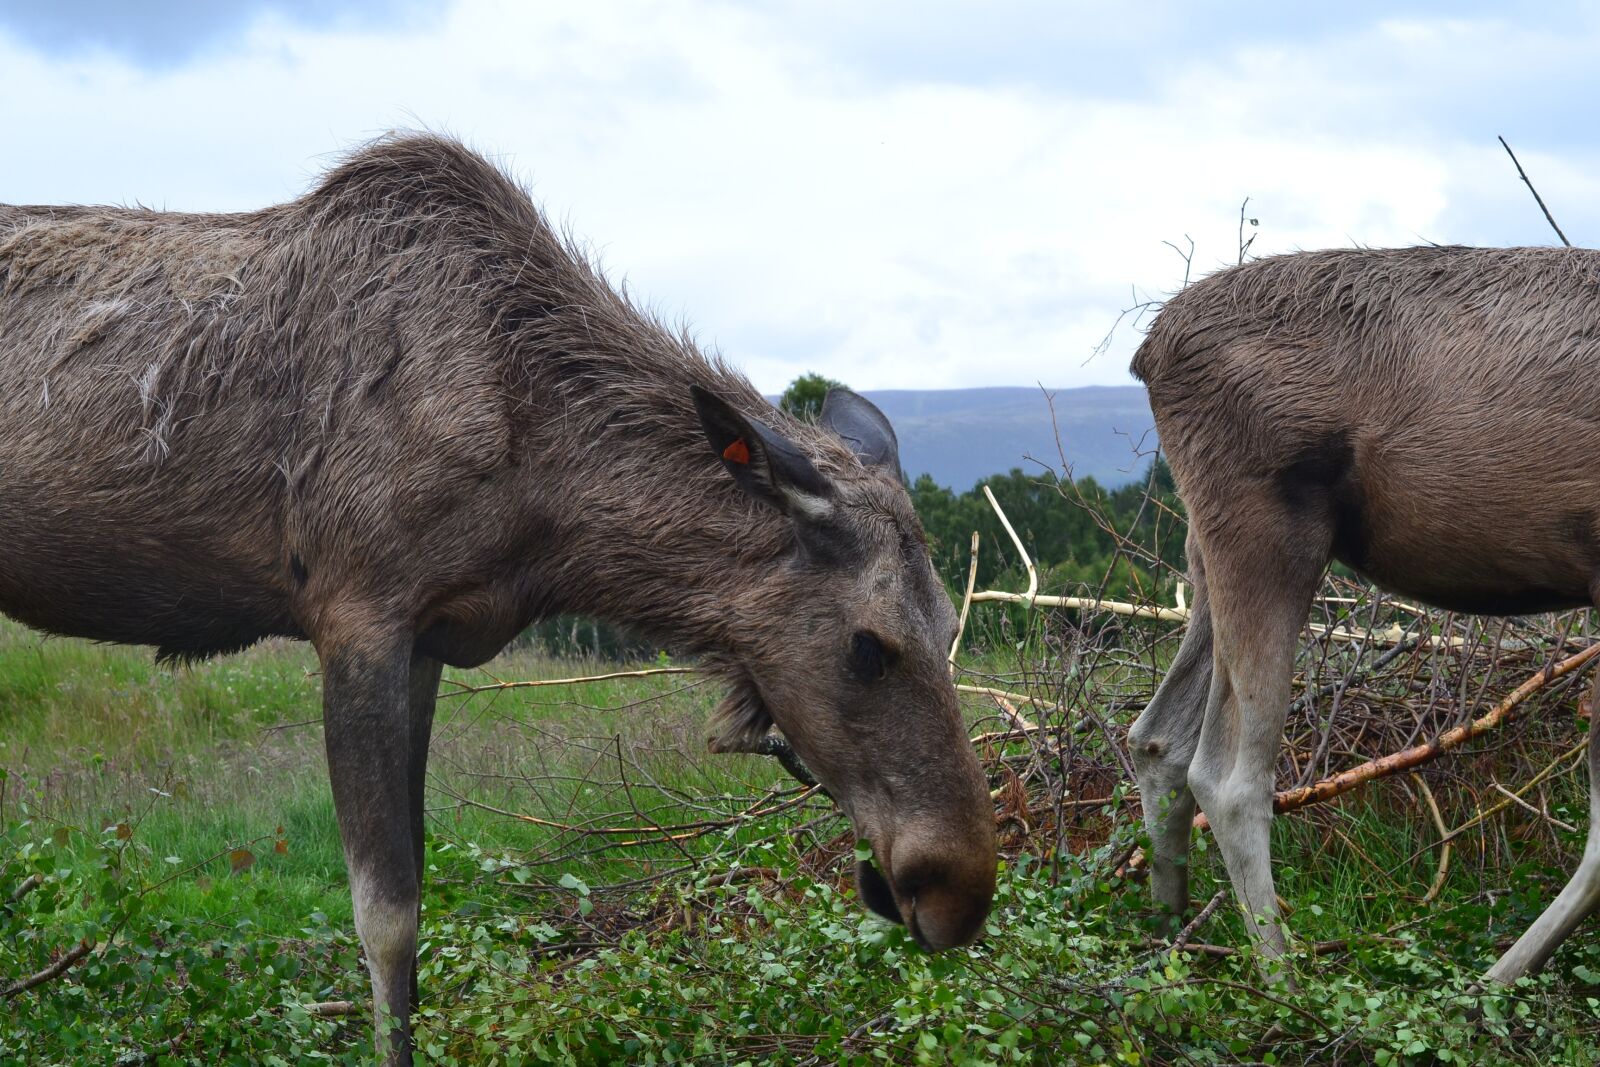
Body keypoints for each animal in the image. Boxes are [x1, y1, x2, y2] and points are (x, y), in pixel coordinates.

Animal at [0, 134, 997, 1063]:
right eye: (868, 645)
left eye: (951, 622)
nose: (961, 887)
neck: (544, 502)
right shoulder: (359, 615)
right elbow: (385, 915)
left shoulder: (430, 637)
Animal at [1129, 244, 1600, 985]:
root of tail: (1150, 350)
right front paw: (1491, 982)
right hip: (1270, 534)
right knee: (1228, 777)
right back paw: (1284, 979)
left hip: (1205, 552)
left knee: (1156, 738)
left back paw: (1170, 938)